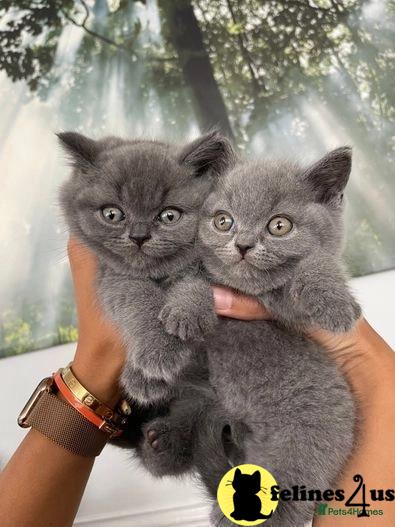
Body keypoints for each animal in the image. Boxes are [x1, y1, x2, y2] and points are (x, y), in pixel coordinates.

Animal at [58, 131, 235, 404]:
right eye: (112, 214)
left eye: (169, 216)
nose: (139, 236)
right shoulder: (112, 276)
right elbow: (139, 298)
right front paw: (158, 354)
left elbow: (199, 277)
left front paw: (188, 313)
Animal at [141, 148, 360, 527]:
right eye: (223, 221)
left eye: (279, 225)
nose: (242, 244)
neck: (242, 290)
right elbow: (192, 278)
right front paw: (186, 310)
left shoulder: (289, 311)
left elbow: (314, 265)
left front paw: (335, 302)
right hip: (198, 392)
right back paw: (162, 441)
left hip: (308, 436)